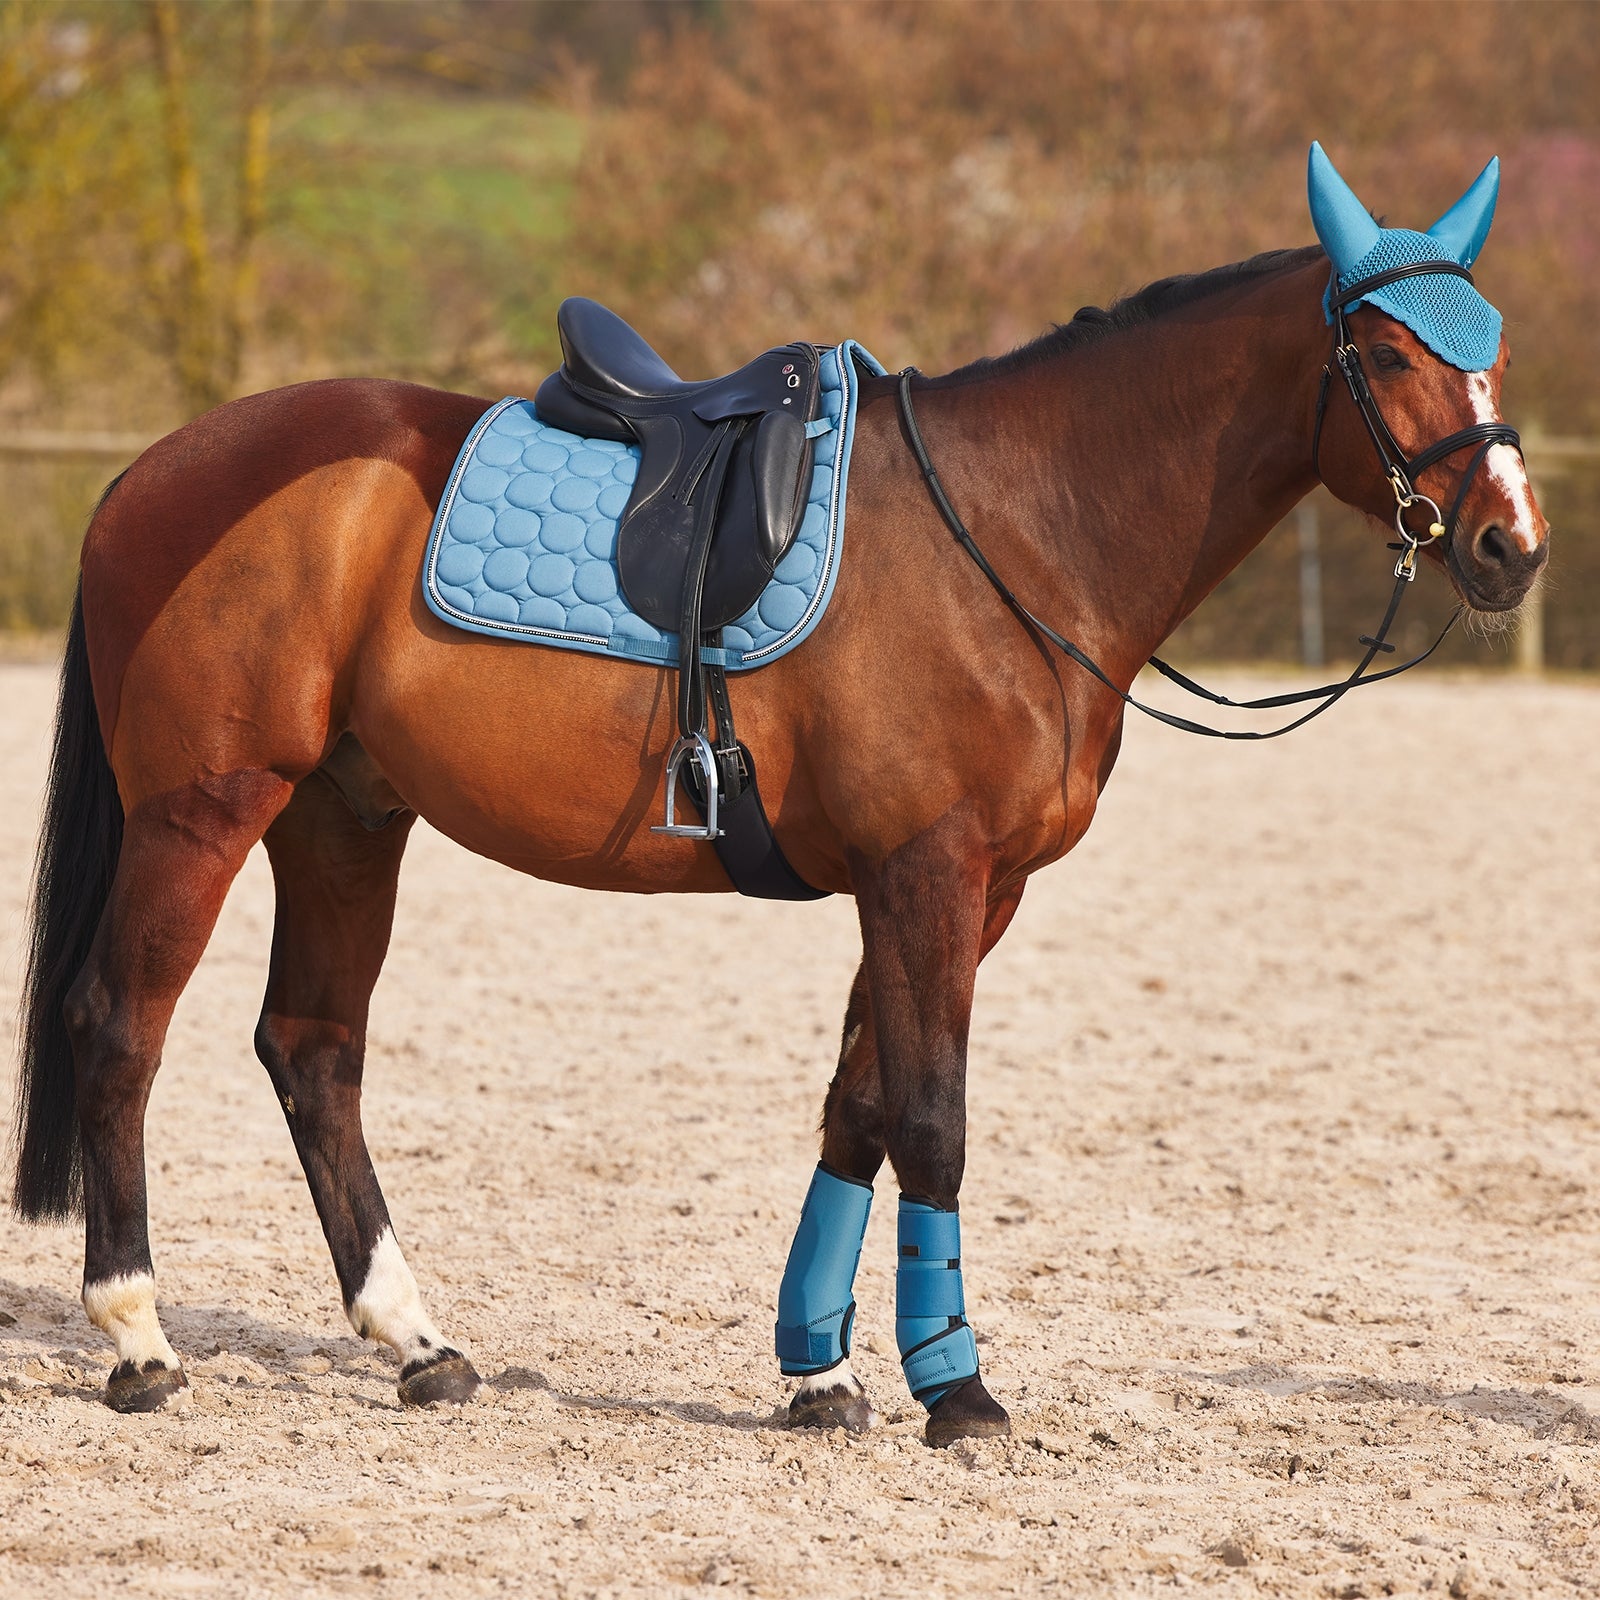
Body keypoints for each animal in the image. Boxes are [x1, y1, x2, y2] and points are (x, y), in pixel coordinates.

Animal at [9, 148, 1547, 1445]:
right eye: (1388, 351)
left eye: (1494, 345)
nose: (1509, 546)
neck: (1018, 528)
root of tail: (157, 469)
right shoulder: (928, 869)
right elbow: (931, 1117)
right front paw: (957, 1389)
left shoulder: (962, 888)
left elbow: (856, 1108)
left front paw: (821, 1370)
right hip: (206, 810)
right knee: (120, 1028)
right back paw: (139, 1341)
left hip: (342, 818)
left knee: (313, 1050)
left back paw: (418, 1344)